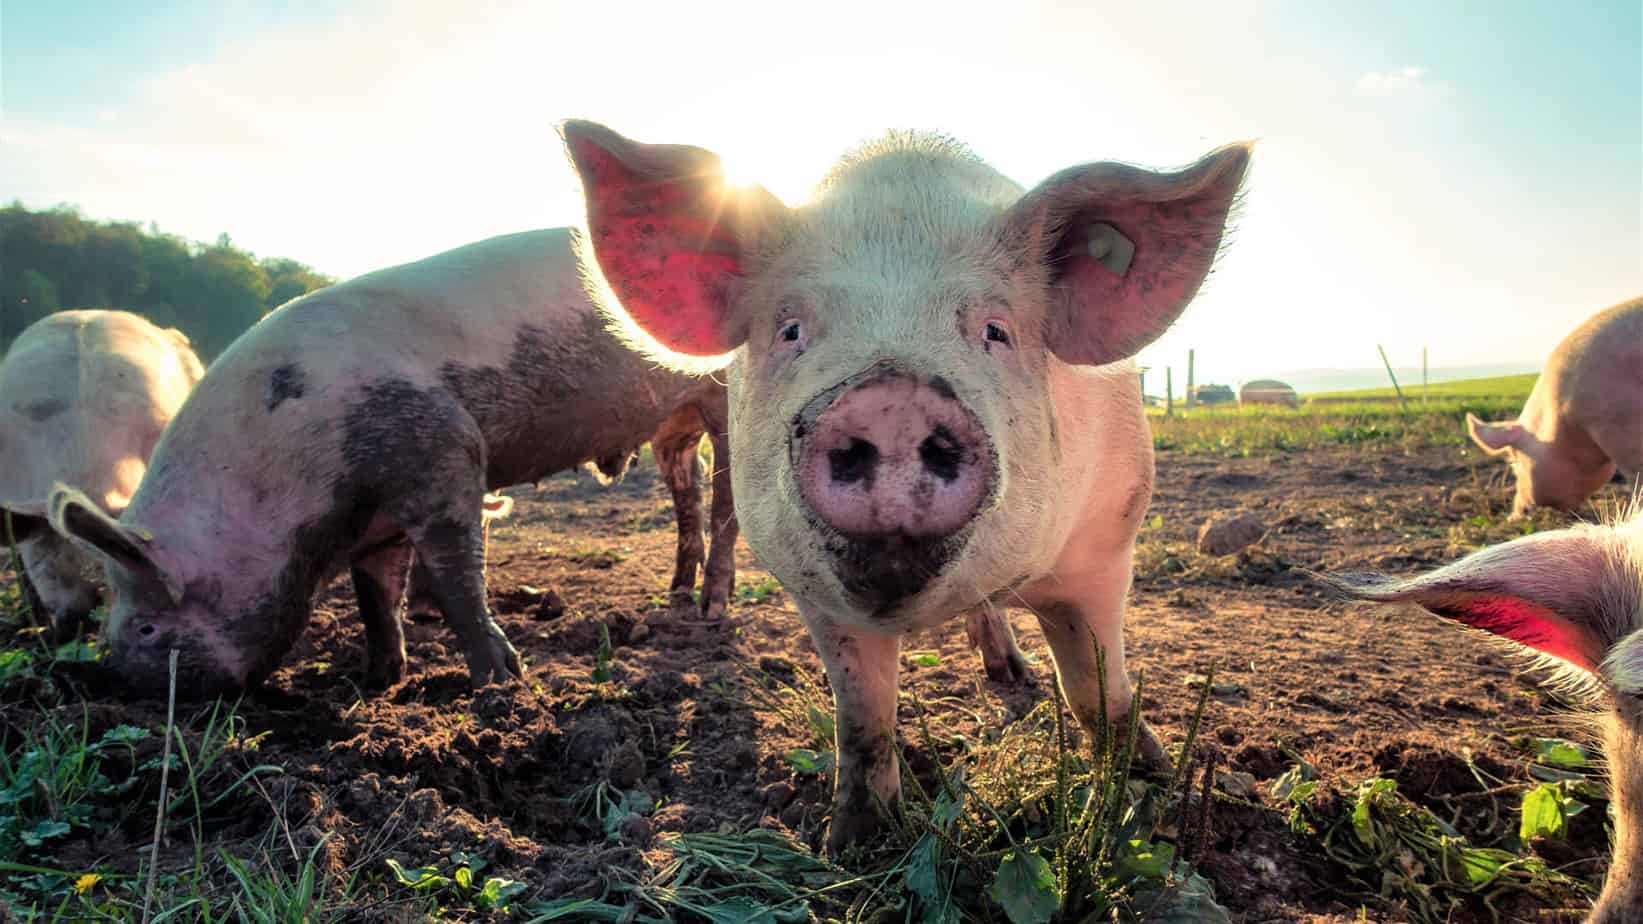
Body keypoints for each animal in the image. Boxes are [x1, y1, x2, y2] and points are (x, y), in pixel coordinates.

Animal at [45, 228, 740, 698]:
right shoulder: (374, 520)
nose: (113, 683)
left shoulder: (445, 454)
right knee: (689, 492)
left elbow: (458, 577)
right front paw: (378, 679)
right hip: (671, 428)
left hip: (726, 398)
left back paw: (711, 608)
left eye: (147, 628)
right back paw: (675, 594)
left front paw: (501, 683)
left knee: (728, 501)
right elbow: (375, 593)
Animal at [563, 120, 1251, 849]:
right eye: (791, 329)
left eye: (995, 330)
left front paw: (1152, 796)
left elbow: (1098, 690)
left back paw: (1014, 675)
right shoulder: (812, 592)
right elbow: (863, 717)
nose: (891, 397)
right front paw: (853, 844)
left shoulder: (1106, 540)